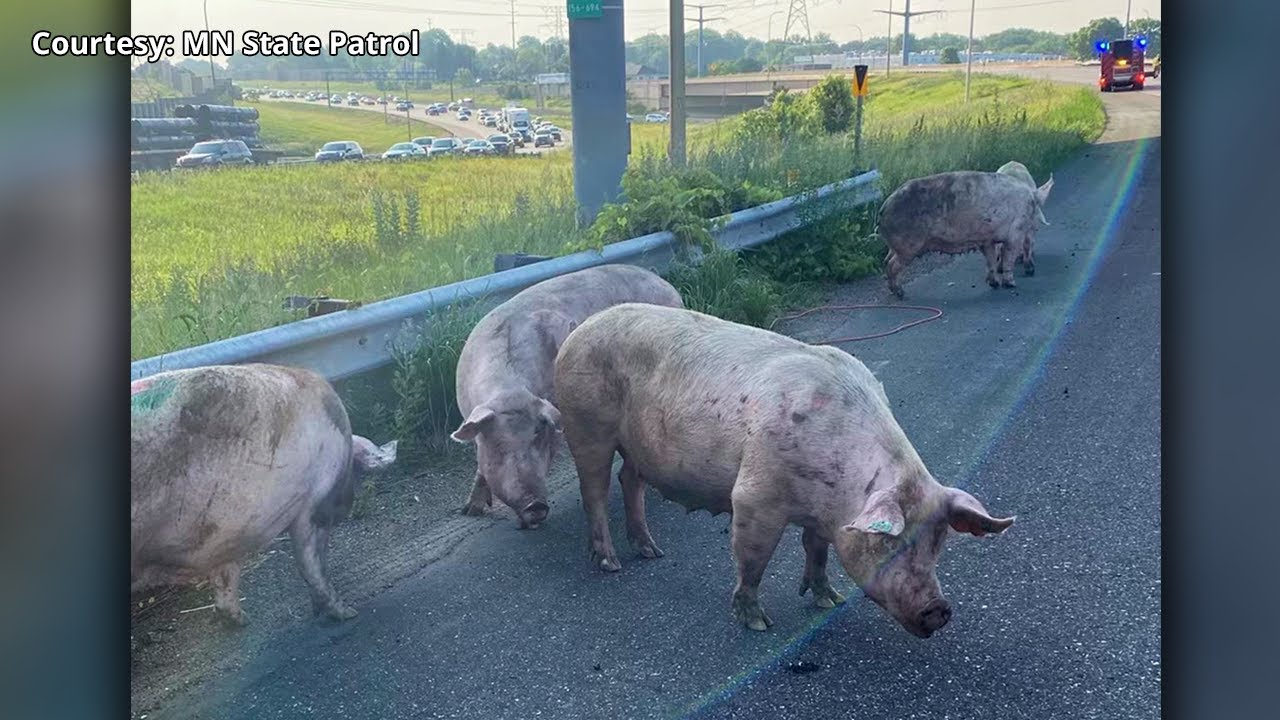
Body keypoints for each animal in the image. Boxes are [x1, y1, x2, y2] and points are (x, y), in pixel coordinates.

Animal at [130, 364, 397, 626]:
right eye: (355, 468)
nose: (347, 506)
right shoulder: (313, 505)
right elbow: (311, 564)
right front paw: (347, 613)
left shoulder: (229, 531)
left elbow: (227, 576)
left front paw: (239, 621)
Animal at [452, 264, 684, 529]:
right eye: (498, 446)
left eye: (538, 436)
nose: (536, 505)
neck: (508, 390)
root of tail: (667, 285)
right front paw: (469, 511)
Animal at [554, 304, 1015, 636]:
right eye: (889, 542)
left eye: (940, 542)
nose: (939, 609)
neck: (836, 499)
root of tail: (578, 330)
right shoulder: (754, 498)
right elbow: (752, 561)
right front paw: (758, 624)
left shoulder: (821, 512)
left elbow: (817, 551)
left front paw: (829, 600)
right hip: (586, 425)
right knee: (594, 492)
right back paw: (610, 563)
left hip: (635, 446)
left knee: (628, 480)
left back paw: (651, 552)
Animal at [879, 170, 1054, 298]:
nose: (1037, 227)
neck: (1031, 201)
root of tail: (883, 208)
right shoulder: (1015, 232)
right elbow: (1008, 256)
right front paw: (1011, 284)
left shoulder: (987, 239)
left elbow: (991, 259)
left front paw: (994, 284)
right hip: (907, 246)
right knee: (892, 265)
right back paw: (900, 294)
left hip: (896, 247)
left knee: (887, 261)